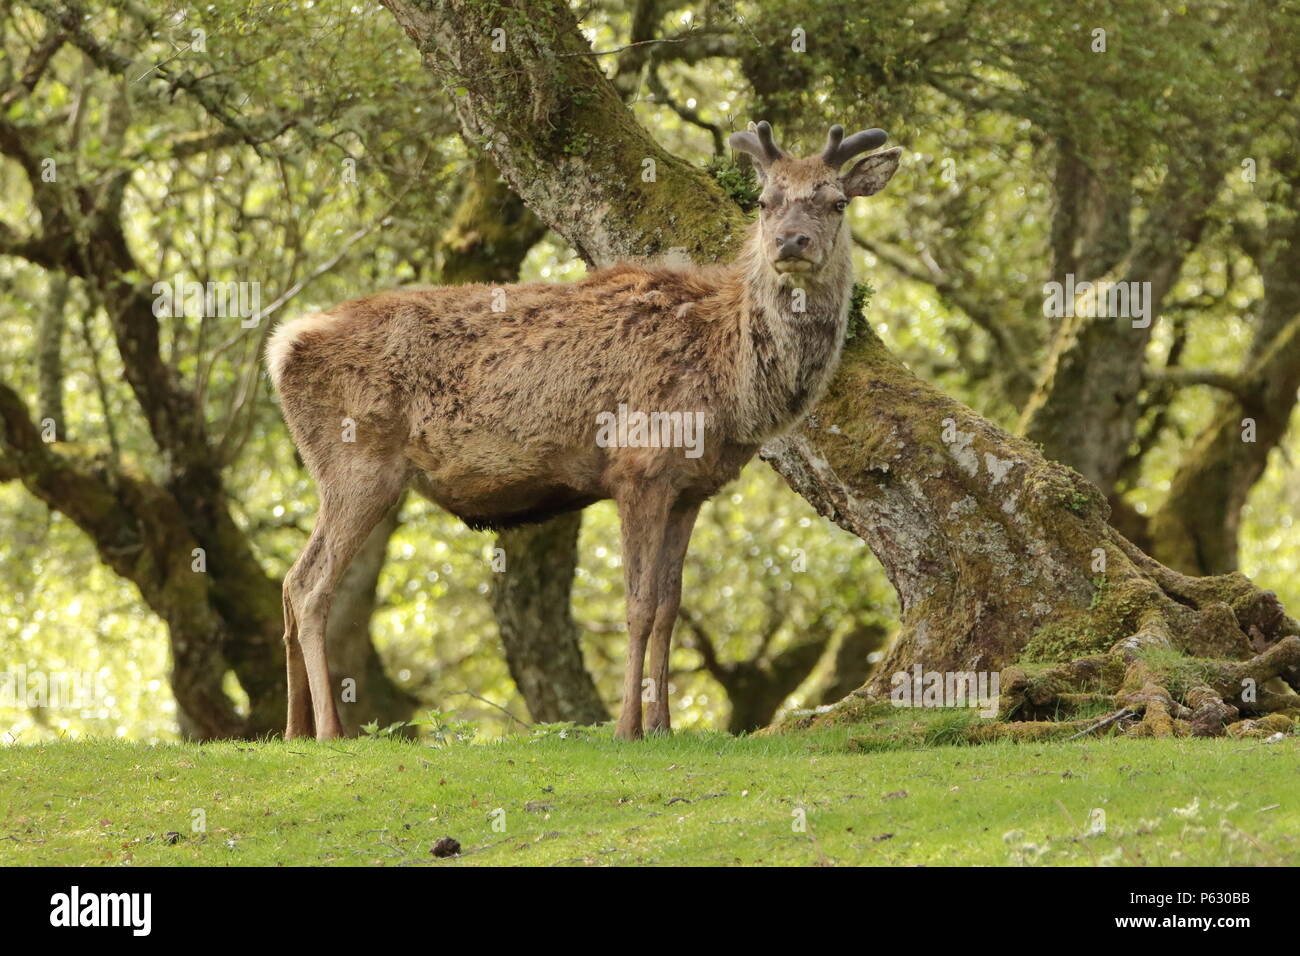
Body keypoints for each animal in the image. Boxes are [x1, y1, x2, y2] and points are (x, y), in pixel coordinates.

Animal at [269, 123, 899, 743]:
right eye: (765, 202)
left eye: (836, 202)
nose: (791, 243)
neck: (732, 385)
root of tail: (280, 347)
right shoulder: (639, 468)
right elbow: (638, 604)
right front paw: (627, 728)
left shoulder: (691, 489)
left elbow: (670, 605)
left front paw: (664, 726)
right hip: (358, 463)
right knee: (309, 585)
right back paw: (329, 730)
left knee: (290, 581)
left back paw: (294, 729)